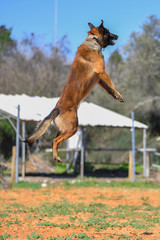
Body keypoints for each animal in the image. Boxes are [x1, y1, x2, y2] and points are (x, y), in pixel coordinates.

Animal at [25, 20, 124, 162]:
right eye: (108, 31)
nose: (117, 36)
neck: (93, 40)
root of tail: (57, 109)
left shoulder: (98, 79)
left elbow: (108, 87)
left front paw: (116, 96)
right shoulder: (101, 71)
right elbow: (112, 84)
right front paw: (118, 93)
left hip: (63, 130)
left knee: (54, 141)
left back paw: (56, 156)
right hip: (72, 129)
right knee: (55, 141)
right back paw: (56, 157)